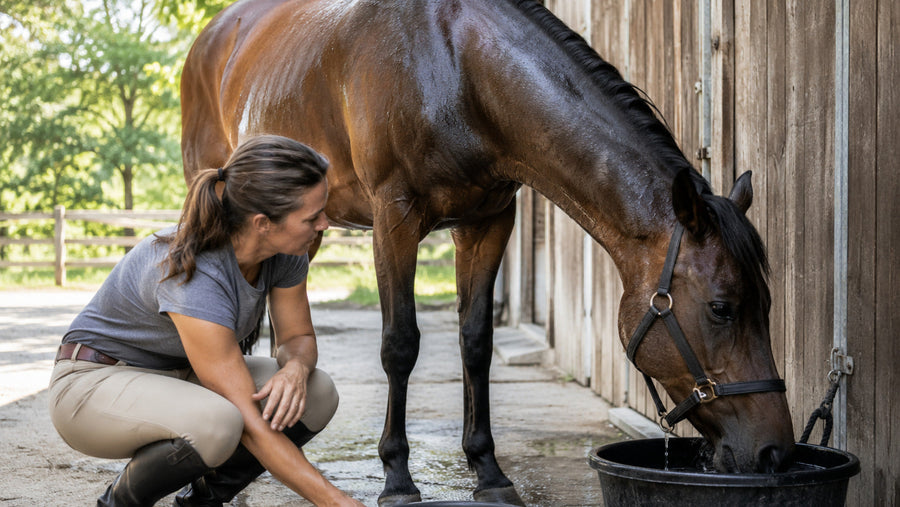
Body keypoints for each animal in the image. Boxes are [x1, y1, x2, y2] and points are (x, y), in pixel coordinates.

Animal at [180, 0, 795, 504]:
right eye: (722, 308)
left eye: (768, 304)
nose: (775, 452)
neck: (456, 67)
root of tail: (212, 37)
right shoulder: (394, 219)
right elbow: (400, 345)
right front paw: (398, 479)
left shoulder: (488, 222)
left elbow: (476, 341)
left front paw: (489, 472)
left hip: (304, 228)